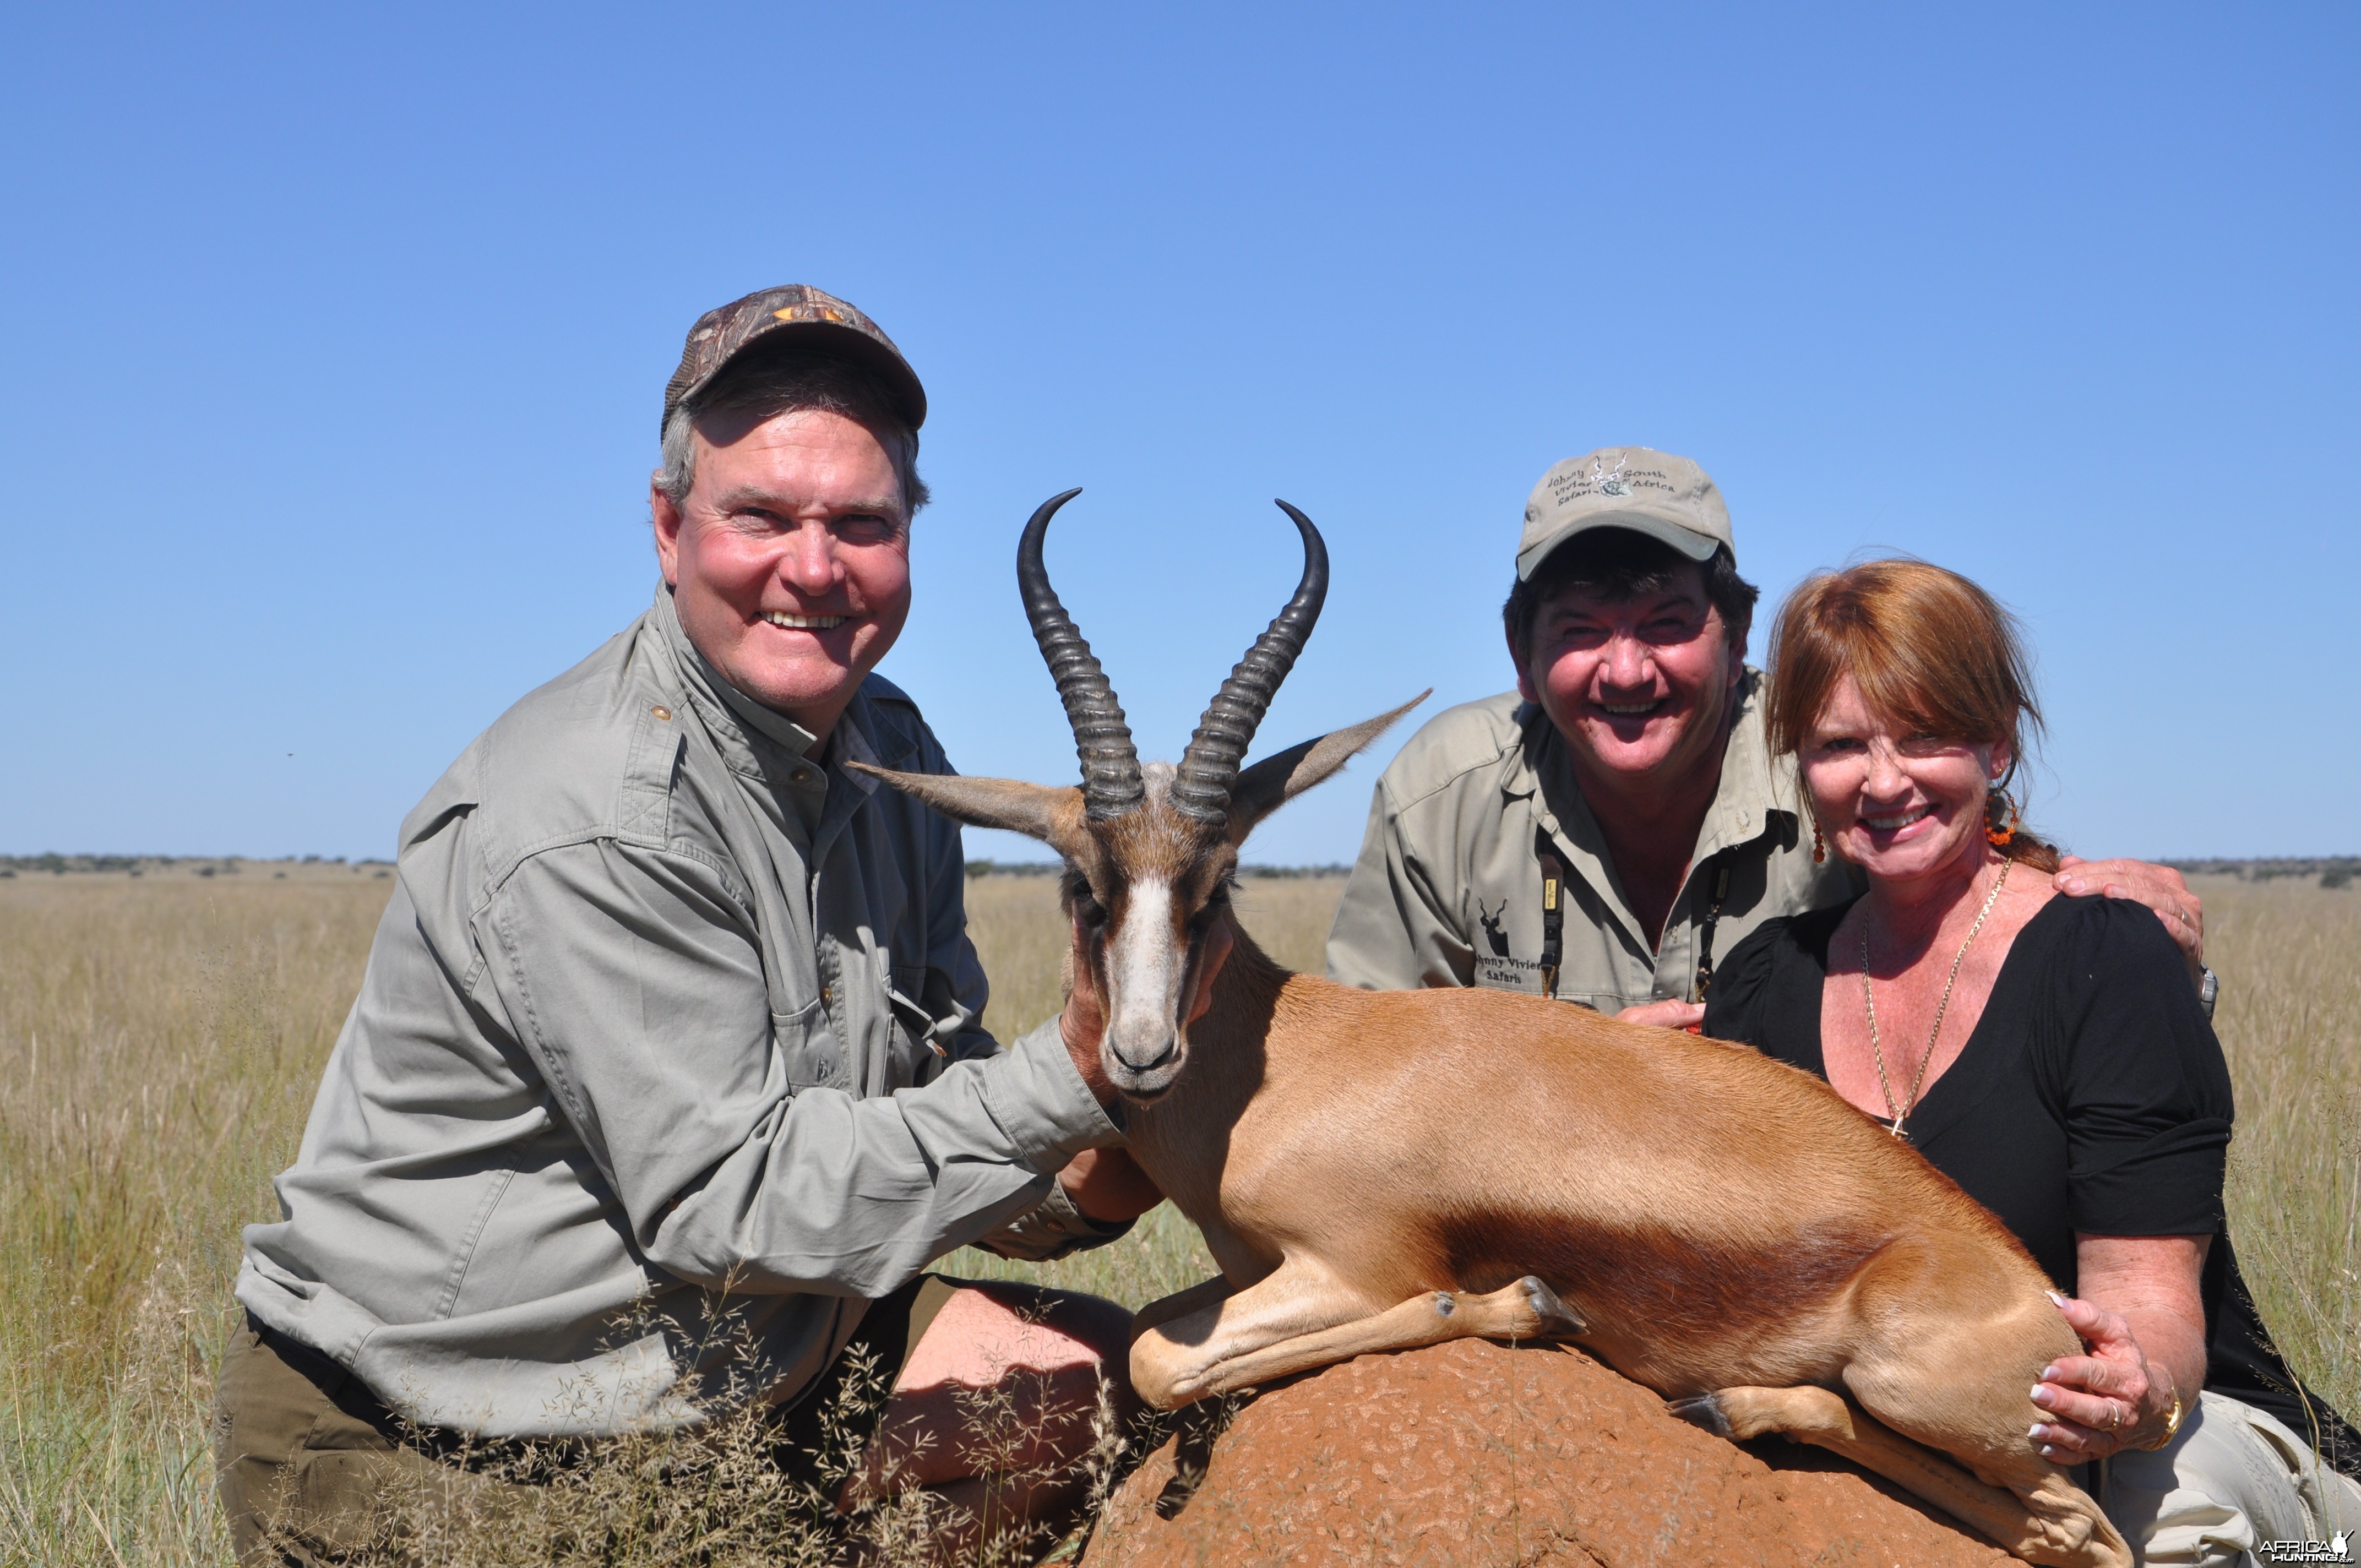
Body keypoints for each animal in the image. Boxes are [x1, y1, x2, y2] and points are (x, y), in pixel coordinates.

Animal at [855, 493, 2144, 1567]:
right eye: (1084, 885)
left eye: (1216, 883)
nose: (1137, 1052)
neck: (1289, 1069)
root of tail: (2045, 1305)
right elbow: (1146, 1346)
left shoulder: (1349, 1263)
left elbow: (1161, 1354)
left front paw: (1513, 1301)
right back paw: (1724, 1401)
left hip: (1932, 1389)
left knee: (2076, 1533)